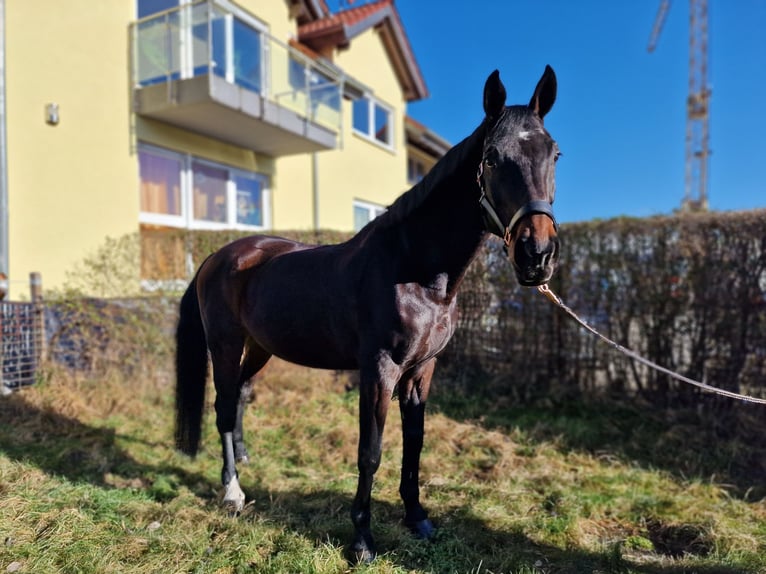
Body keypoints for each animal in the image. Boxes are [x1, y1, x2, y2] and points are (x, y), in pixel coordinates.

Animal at [176, 66, 564, 564]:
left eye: (554, 154)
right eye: (493, 158)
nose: (537, 255)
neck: (415, 271)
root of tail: (218, 256)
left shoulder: (422, 370)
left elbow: (414, 445)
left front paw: (418, 519)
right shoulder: (379, 370)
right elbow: (371, 451)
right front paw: (362, 539)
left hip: (260, 346)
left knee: (241, 394)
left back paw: (244, 459)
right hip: (223, 344)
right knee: (224, 406)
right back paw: (232, 492)